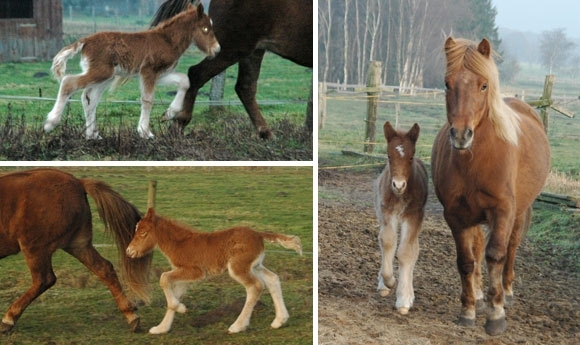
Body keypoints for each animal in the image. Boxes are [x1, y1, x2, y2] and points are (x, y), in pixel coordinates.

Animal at [0, 168, 152, 332]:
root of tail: (78, 183)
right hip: (78, 245)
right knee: (105, 269)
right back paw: (131, 316)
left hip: (34, 247)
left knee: (44, 279)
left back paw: (8, 320)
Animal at [150, 0, 312, 138]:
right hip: (233, 46)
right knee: (196, 74)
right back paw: (178, 125)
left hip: (253, 51)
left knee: (245, 87)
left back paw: (266, 134)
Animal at [374, 121, 428, 314]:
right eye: (389, 156)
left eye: (411, 157)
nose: (398, 185)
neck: (399, 196)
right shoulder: (387, 212)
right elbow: (388, 242)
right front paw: (388, 282)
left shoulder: (413, 217)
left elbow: (406, 252)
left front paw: (404, 300)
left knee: (413, 249)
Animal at [432, 37, 552, 334]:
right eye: (447, 83)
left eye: (483, 85)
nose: (461, 135)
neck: (477, 160)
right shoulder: (456, 215)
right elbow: (466, 261)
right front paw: (467, 310)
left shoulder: (503, 211)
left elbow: (496, 255)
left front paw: (496, 314)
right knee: (476, 249)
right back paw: (477, 292)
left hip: (519, 212)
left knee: (511, 247)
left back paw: (506, 292)